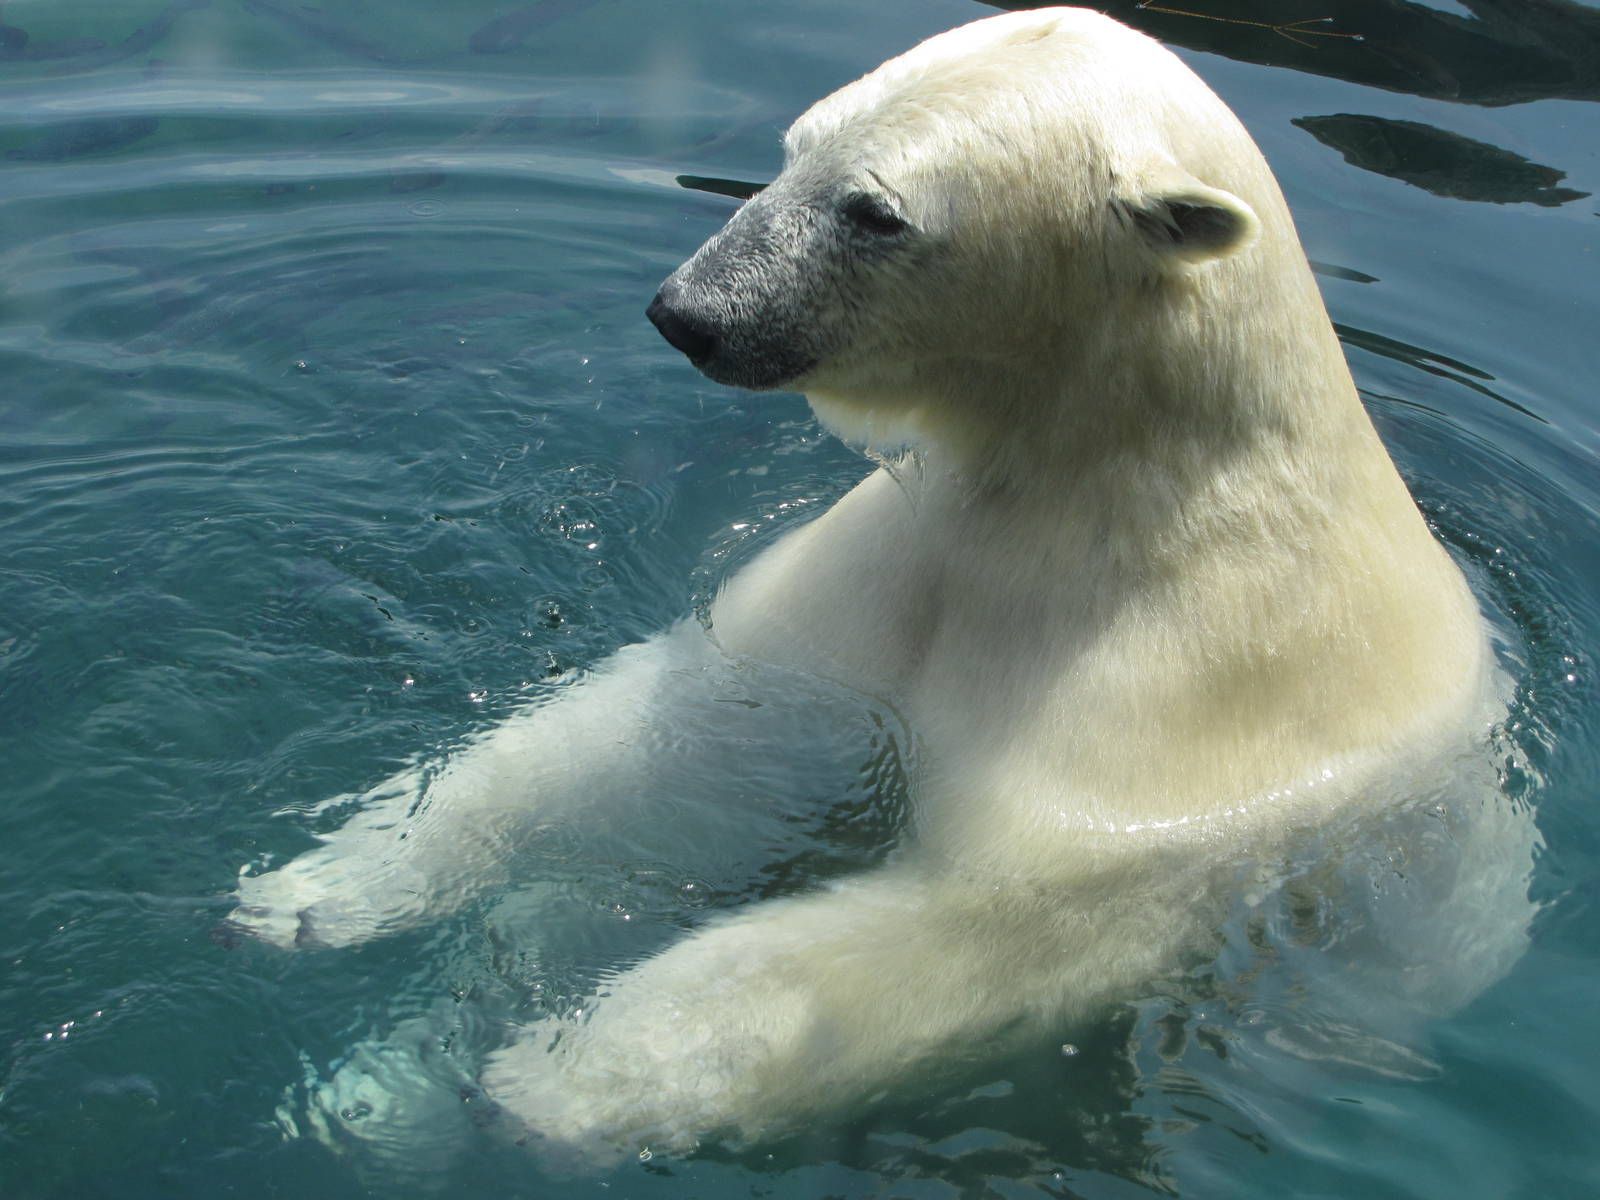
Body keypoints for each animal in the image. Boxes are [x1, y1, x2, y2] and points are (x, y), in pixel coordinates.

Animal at [227, 6, 1536, 1166]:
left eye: (874, 211)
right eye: (791, 146)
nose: (687, 313)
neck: (1107, 491)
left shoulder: (1182, 704)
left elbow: (983, 923)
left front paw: (567, 1074)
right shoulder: (902, 557)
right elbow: (687, 724)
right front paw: (326, 885)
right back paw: (374, 1089)